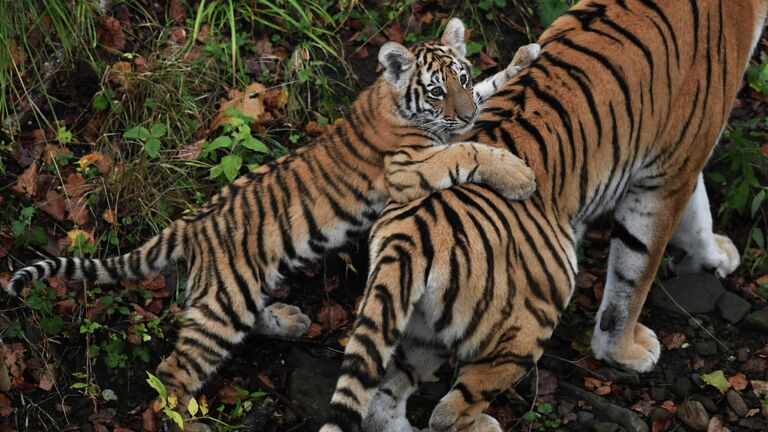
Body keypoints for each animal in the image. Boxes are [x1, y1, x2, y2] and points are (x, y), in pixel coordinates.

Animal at [1, 18, 540, 430]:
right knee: (174, 371)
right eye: (435, 90)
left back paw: (289, 319)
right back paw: (191, 421)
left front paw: (525, 55)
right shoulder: (407, 169)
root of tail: (188, 226)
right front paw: (518, 175)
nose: (464, 114)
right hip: (223, 304)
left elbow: (489, 93)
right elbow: (465, 150)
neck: (394, 99)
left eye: (461, 79)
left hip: (233, 292)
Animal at [320, 1, 764, 430]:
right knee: (449, 412)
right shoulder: (670, 170)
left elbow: (699, 214)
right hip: (528, 323)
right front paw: (624, 351)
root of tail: (409, 238)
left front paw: (716, 255)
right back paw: (484, 424)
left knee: (382, 402)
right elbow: (635, 275)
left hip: (420, 330)